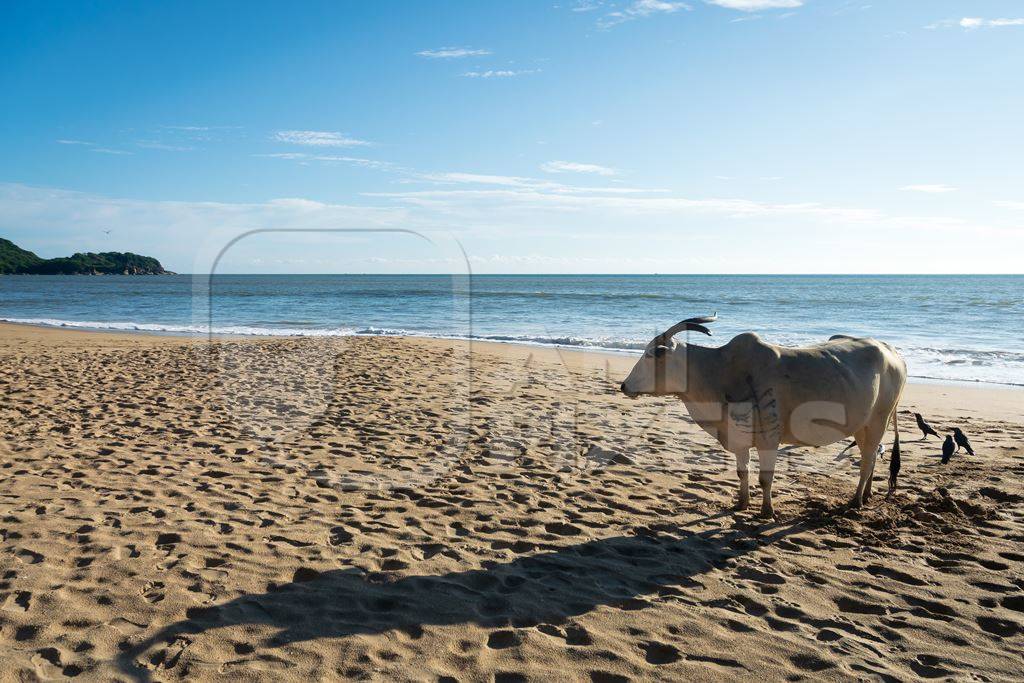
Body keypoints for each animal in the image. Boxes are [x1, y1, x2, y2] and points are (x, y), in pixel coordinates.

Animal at [618, 317, 909, 518]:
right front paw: (742, 503)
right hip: (864, 425)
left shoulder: (769, 439)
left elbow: (764, 478)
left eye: (649, 354)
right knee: (871, 457)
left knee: (867, 461)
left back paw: (856, 500)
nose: (623, 385)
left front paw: (766, 511)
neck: (721, 372)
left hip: (879, 420)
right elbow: (742, 472)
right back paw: (867, 495)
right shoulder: (738, 438)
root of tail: (893, 352)